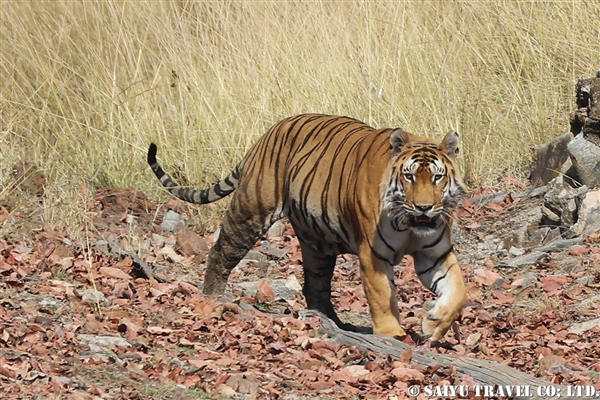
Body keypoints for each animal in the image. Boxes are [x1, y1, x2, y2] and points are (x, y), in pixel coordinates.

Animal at [149, 114, 468, 342]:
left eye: (438, 177)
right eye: (409, 177)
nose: (424, 207)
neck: (410, 225)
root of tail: (267, 134)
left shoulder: (434, 254)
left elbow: (458, 291)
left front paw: (434, 325)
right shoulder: (373, 255)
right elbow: (381, 297)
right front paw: (392, 334)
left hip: (318, 243)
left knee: (315, 285)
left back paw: (333, 322)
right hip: (251, 211)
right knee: (219, 251)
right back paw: (213, 296)